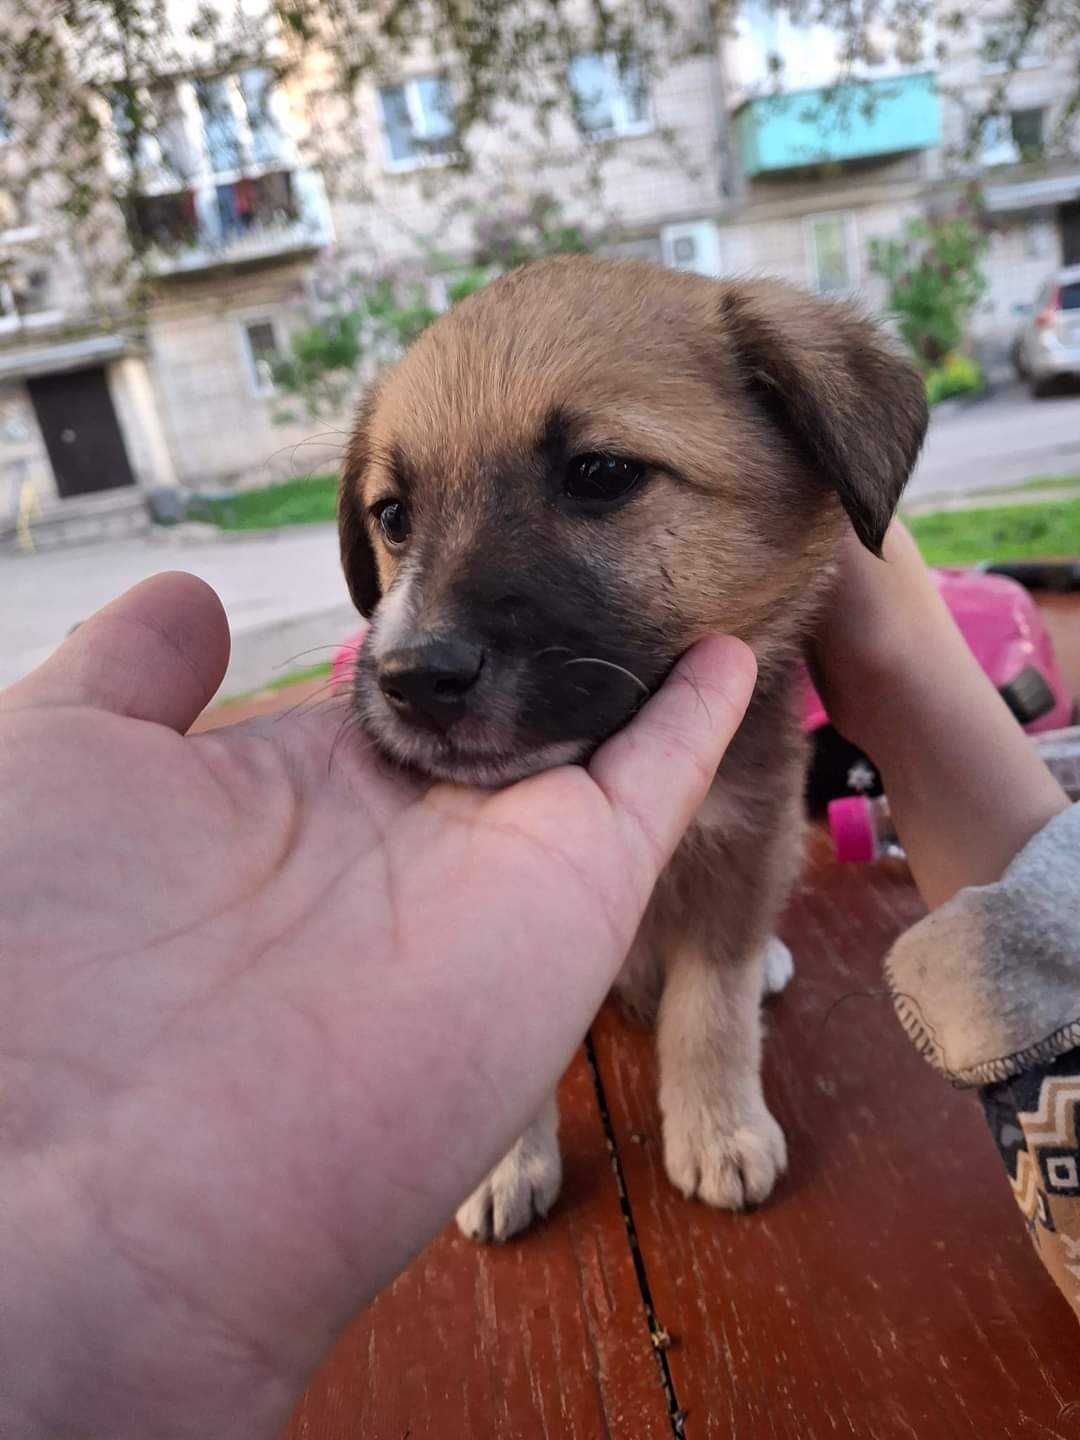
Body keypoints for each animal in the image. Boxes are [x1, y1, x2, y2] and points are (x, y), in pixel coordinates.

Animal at [339, 256, 933, 1238]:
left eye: (602, 473)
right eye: (393, 516)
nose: (412, 678)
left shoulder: (746, 840)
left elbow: (712, 1006)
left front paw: (720, 1128)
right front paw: (507, 1163)